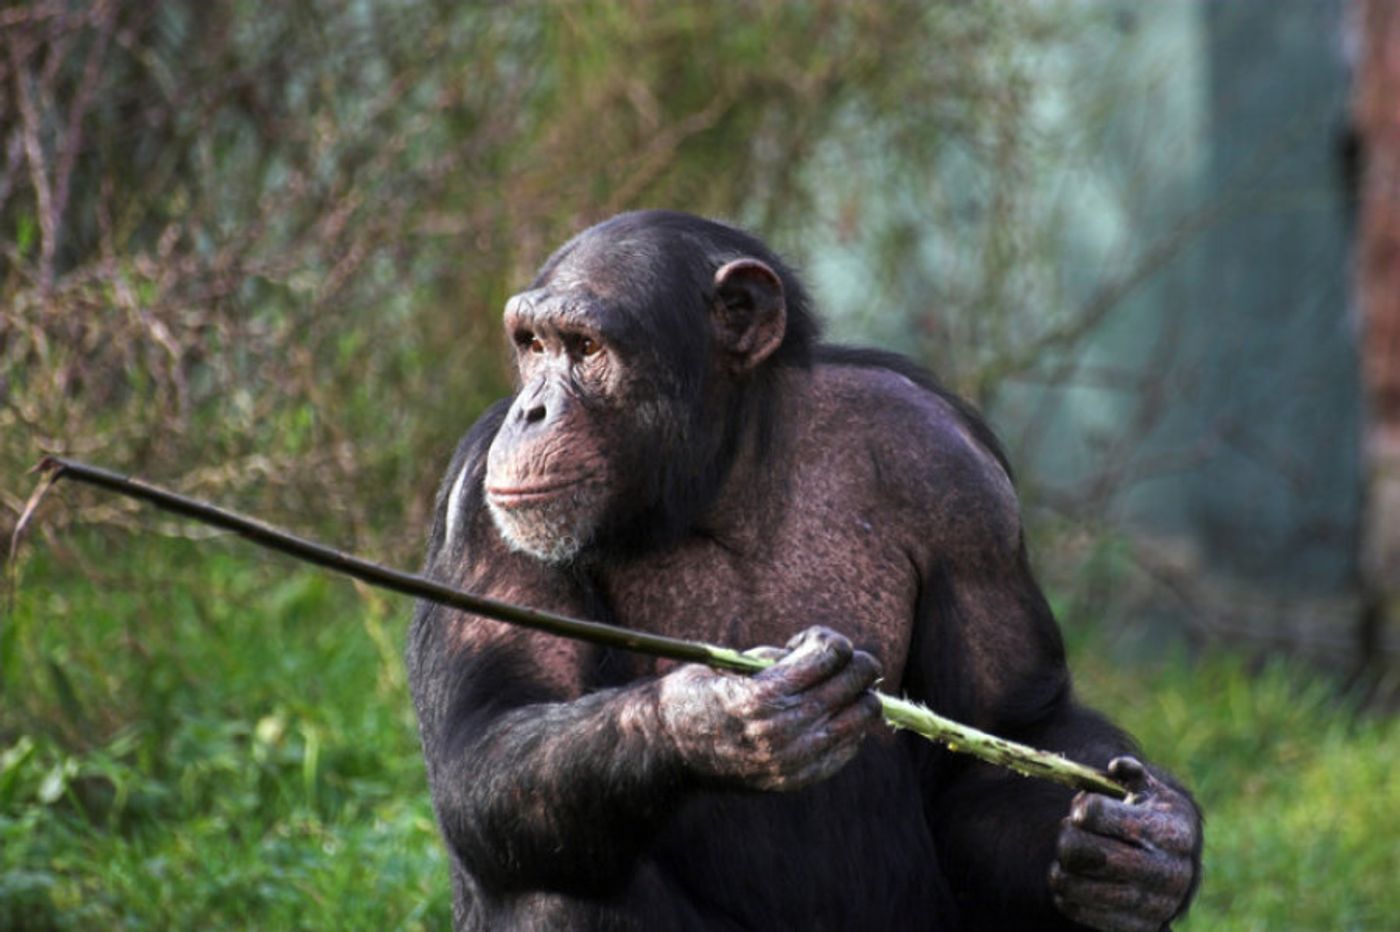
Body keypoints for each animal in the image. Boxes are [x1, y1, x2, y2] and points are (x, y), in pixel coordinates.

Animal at [406, 209, 1204, 929]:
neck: (726, 475)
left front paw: (1149, 844)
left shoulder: (960, 481)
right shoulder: (483, 515)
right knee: (555, 887)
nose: (531, 411)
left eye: (583, 346)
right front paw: (722, 717)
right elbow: (491, 725)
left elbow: (1011, 725)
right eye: (532, 345)